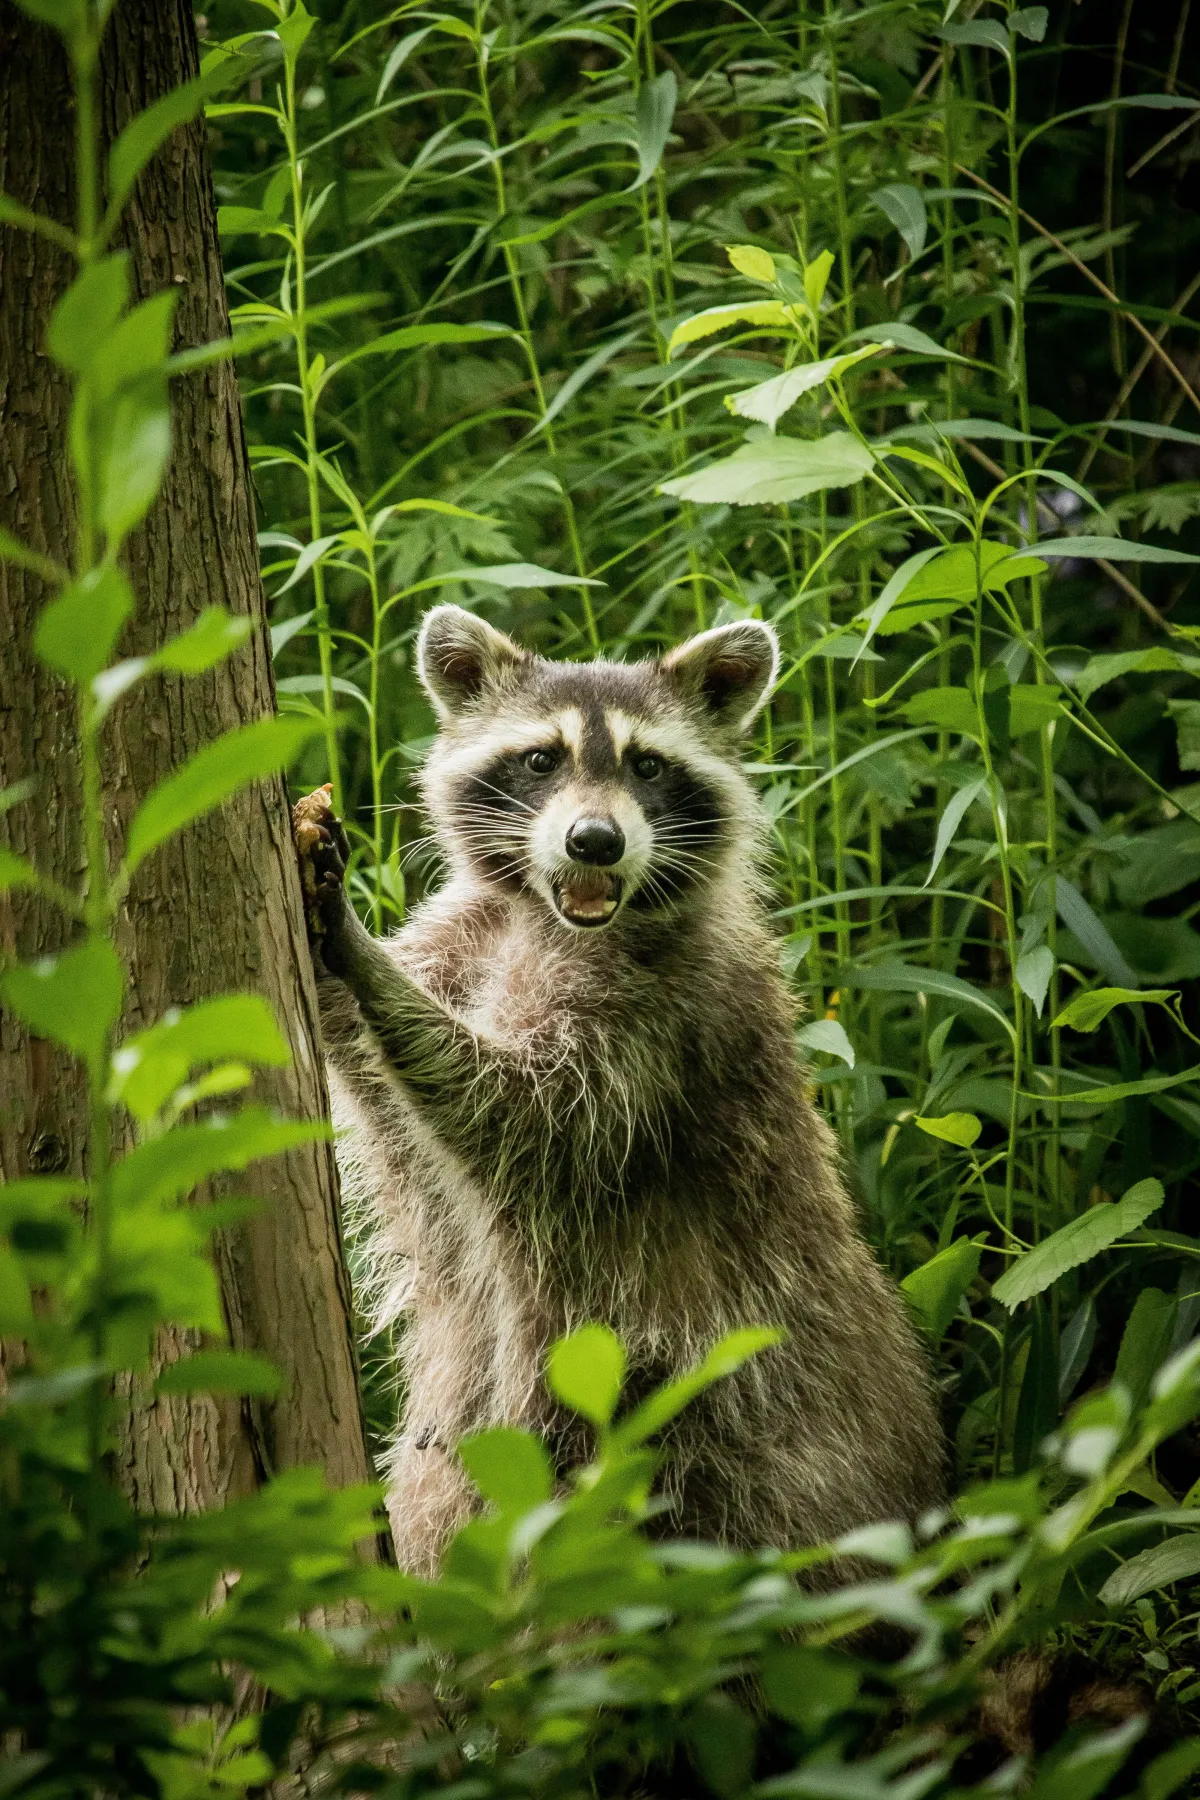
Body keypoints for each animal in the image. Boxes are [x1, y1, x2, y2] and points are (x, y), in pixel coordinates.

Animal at [293, 608, 949, 1576]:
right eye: (540, 759)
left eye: (648, 766)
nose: (595, 842)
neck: (544, 913)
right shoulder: (469, 935)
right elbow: (387, 1096)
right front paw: (342, 972)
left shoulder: (664, 1016)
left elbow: (527, 1115)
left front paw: (362, 958)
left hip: (734, 1413)